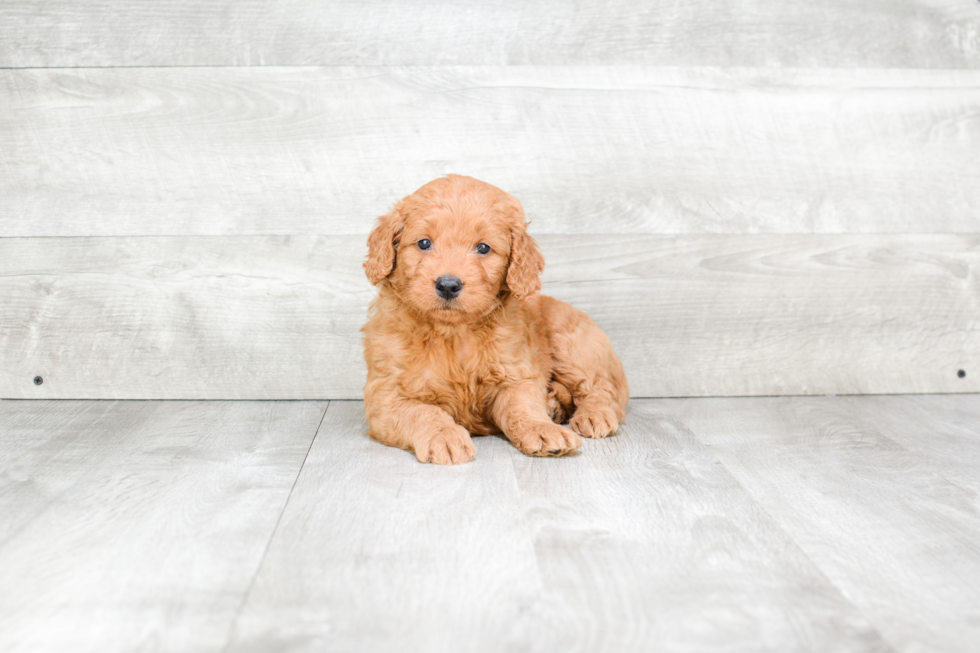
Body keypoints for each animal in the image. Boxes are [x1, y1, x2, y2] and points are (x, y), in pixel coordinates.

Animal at [360, 174, 628, 464]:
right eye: (423, 243)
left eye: (483, 248)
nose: (448, 285)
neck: (454, 333)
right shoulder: (387, 395)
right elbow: (423, 412)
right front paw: (445, 436)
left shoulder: (515, 374)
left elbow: (522, 406)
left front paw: (542, 429)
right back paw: (554, 406)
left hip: (571, 343)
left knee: (600, 387)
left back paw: (593, 415)